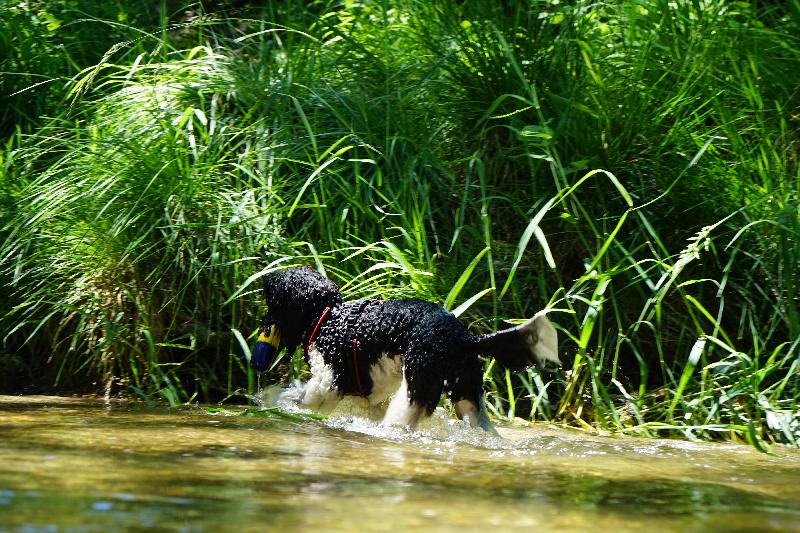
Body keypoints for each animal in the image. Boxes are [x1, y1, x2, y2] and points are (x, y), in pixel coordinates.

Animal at [251, 266, 558, 432]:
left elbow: (296, 396)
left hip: (416, 389)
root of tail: (463, 339)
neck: (328, 316)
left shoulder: (327, 383)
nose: (262, 326)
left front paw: (270, 399)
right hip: (467, 395)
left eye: (271, 299)